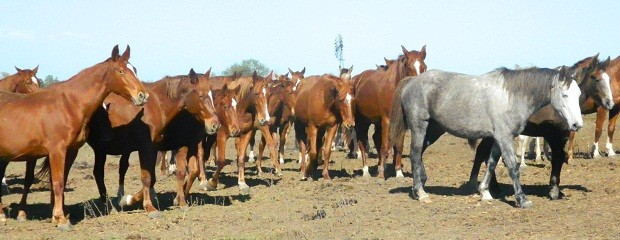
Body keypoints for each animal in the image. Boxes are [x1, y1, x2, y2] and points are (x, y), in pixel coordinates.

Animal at [0, 45, 148, 231]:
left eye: (134, 69)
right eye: (121, 71)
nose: (143, 95)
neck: (69, 104)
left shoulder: (71, 151)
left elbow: (61, 182)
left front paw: (57, 216)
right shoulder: (57, 151)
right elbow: (57, 182)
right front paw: (62, 220)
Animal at [354, 46, 426, 179]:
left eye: (424, 66)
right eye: (409, 66)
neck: (395, 90)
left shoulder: (401, 123)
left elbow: (398, 146)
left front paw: (398, 172)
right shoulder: (386, 120)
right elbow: (384, 145)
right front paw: (381, 173)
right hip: (362, 121)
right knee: (362, 142)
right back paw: (366, 171)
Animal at [390, 66, 584, 208]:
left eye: (579, 95)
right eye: (565, 95)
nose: (577, 124)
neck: (510, 97)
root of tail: (411, 82)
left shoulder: (498, 138)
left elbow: (491, 163)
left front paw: (485, 192)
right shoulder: (505, 137)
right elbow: (513, 167)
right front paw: (522, 200)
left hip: (434, 130)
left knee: (419, 153)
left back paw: (420, 185)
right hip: (419, 127)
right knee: (415, 154)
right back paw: (421, 193)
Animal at [470, 55, 616, 200]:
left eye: (609, 79)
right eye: (596, 79)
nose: (609, 103)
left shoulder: (561, 136)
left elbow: (559, 158)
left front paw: (557, 190)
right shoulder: (553, 136)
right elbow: (558, 157)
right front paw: (554, 191)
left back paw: (493, 188)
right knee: (483, 153)